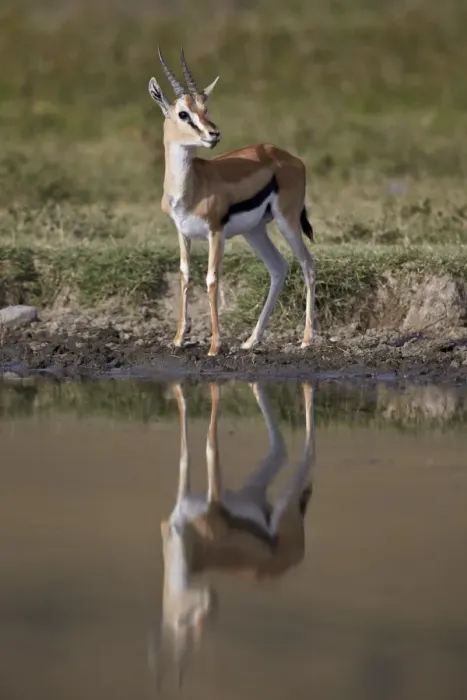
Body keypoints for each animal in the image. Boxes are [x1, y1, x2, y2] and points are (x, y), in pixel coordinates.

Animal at [148, 48, 316, 356]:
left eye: (206, 108)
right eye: (183, 113)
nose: (213, 134)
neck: (191, 187)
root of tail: (287, 157)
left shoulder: (216, 232)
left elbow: (212, 280)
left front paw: (214, 345)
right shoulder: (182, 232)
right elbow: (185, 275)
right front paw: (178, 338)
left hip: (287, 221)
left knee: (307, 265)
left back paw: (307, 339)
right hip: (254, 231)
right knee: (279, 268)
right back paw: (252, 340)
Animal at [149, 380, 315, 687]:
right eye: (181, 623)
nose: (208, 604)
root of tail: (294, 557)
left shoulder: (213, 497)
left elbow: (210, 446)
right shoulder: (184, 496)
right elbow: (186, 455)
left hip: (284, 502)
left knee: (308, 453)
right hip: (257, 488)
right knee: (281, 448)